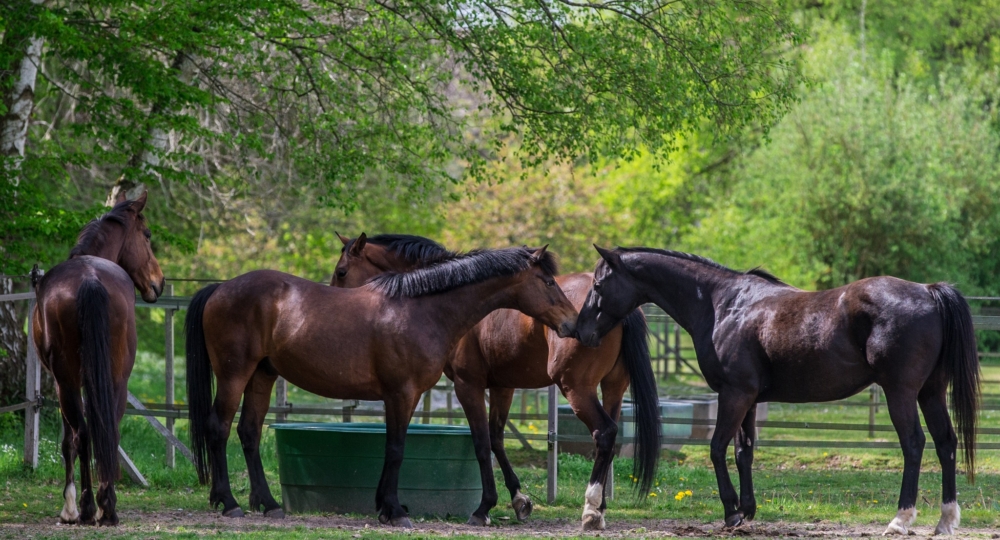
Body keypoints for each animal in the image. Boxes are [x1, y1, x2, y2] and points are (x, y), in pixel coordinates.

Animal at [30, 192, 163, 524]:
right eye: (147, 235)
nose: (159, 282)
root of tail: (90, 279)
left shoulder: (64, 383)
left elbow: (69, 441)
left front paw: (70, 507)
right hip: (115, 378)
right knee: (107, 429)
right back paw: (107, 505)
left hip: (67, 382)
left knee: (82, 434)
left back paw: (89, 507)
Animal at [186, 247, 580, 524]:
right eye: (548, 282)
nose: (572, 323)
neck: (422, 311)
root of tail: (220, 288)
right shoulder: (402, 394)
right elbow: (396, 449)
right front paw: (395, 510)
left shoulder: (406, 396)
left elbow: (394, 447)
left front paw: (386, 506)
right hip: (234, 375)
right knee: (218, 428)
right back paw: (229, 502)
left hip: (261, 377)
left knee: (249, 432)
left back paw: (268, 504)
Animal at [330, 234, 664, 528]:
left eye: (341, 271)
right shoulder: (503, 387)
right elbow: (496, 439)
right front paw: (519, 499)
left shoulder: (468, 385)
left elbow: (481, 442)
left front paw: (484, 508)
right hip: (613, 389)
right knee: (611, 437)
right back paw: (600, 508)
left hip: (577, 389)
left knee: (604, 433)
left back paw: (591, 510)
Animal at [576, 247, 980, 532]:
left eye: (598, 285)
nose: (580, 331)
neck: (723, 304)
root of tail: (928, 292)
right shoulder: (750, 400)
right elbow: (744, 452)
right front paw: (747, 509)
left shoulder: (734, 394)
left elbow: (717, 448)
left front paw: (731, 512)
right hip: (930, 393)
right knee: (946, 442)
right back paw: (945, 521)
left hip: (901, 393)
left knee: (914, 444)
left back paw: (900, 520)